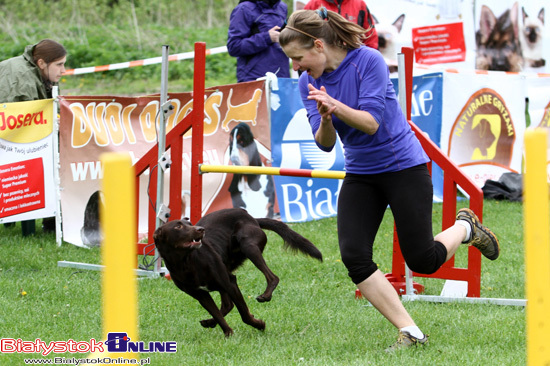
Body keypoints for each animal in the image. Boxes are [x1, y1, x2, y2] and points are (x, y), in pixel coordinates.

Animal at [153, 209, 324, 338]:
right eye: (178, 227)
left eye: (189, 224)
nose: (201, 230)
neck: (186, 262)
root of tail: (251, 217)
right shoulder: (201, 295)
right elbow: (218, 314)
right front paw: (228, 333)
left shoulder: (230, 282)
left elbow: (244, 314)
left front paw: (259, 325)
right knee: (227, 305)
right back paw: (209, 322)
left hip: (248, 245)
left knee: (272, 277)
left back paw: (265, 295)